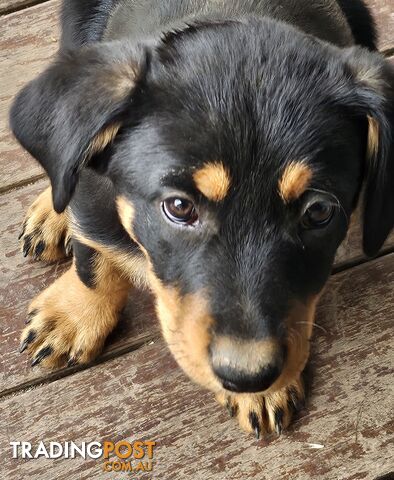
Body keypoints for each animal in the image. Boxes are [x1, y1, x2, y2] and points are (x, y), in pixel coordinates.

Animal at [10, 0, 394, 436]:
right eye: (179, 208)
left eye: (319, 211)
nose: (248, 375)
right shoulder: (91, 200)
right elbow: (93, 257)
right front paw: (76, 315)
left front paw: (263, 394)